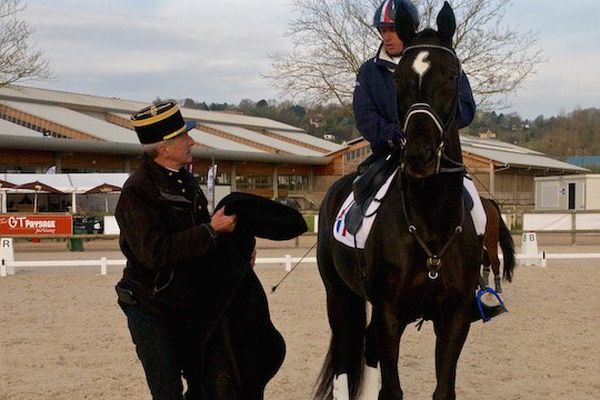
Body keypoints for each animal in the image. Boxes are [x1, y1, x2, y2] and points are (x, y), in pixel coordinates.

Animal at [314, 3, 488, 400]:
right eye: (398, 80)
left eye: (452, 75)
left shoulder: (455, 318)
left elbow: (443, 389)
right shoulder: (389, 315)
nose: (419, 155)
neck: (429, 223)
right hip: (339, 298)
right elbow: (391, 389)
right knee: (346, 361)